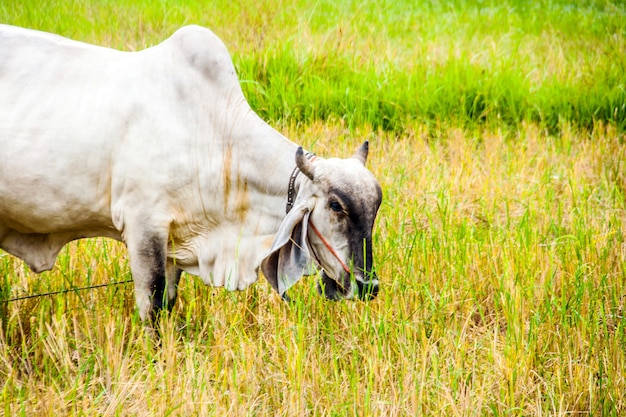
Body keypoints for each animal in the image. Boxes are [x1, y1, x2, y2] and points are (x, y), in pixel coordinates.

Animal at [0, 24, 380, 320]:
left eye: (374, 210)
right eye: (336, 206)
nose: (369, 286)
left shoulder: (174, 239)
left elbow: (169, 303)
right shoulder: (142, 226)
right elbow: (153, 306)